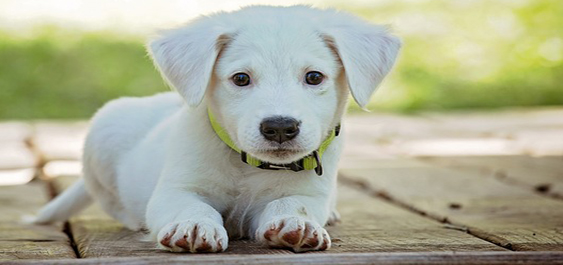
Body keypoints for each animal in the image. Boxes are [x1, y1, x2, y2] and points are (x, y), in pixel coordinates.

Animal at [34, 4, 400, 252]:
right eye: (240, 79)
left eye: (314, 77)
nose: (280, 127)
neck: (247, 166)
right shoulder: (175, 189)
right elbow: (192, 205)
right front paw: (195, 225)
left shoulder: (310, 192)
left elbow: (292, 203)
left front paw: (296, 223)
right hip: (103, 133)